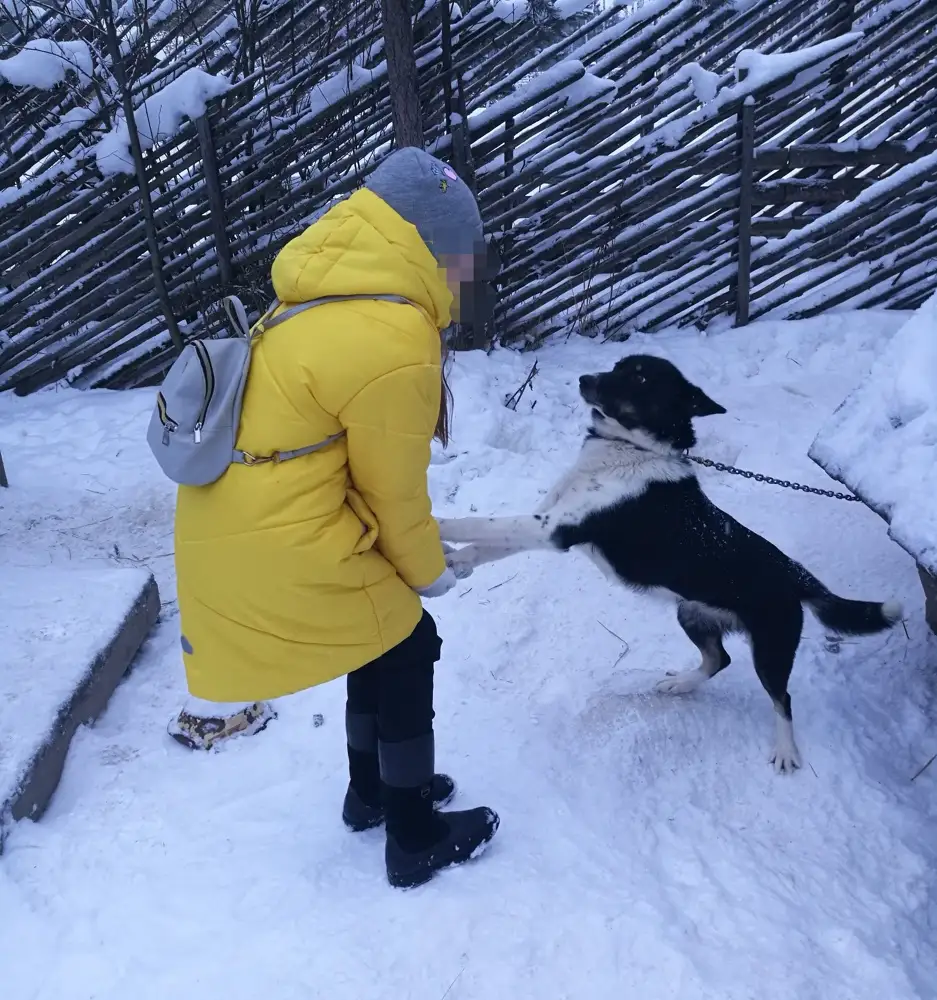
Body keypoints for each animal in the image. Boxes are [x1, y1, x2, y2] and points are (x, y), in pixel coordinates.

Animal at [438, 356, 900, 776]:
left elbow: (476, 524)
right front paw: (454, 562)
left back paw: (786, 750)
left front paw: (436, 521)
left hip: (770, 646)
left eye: (640, 378)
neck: (632, 448)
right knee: (718, 659)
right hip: (691, 612)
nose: (585, 378)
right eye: (617, 366)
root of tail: (794, 573)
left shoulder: (554, 530)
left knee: (780, 698)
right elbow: (485, 542)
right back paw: (680, 684)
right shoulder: (545, 520)